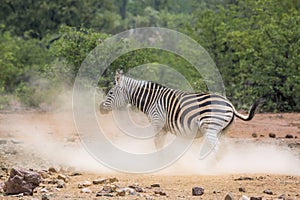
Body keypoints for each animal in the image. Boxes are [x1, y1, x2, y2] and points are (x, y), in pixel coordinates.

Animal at [99, 69, 262, 159]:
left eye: (111, 93)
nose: (100, 108)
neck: (152, 100)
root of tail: (230, 105)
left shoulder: (157, 122)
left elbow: (157, 144)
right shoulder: (164, 127)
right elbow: (161, 145)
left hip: (210, 127)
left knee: (218, 148)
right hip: (223, 130)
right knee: (224, 149)